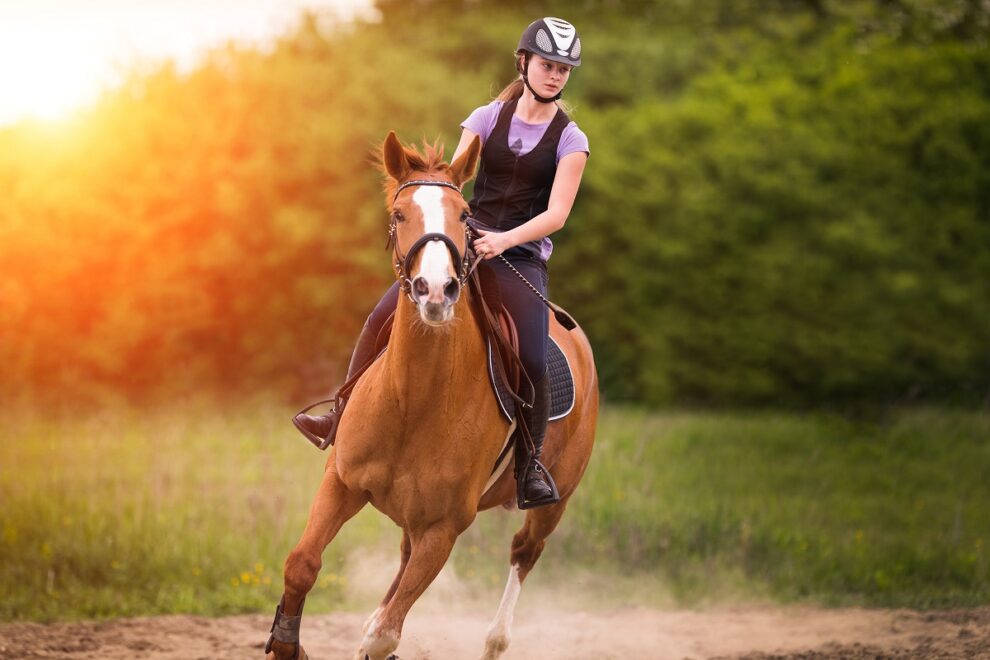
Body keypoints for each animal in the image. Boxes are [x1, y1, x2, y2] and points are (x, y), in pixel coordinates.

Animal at [268, 133, 600, 660]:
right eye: (399, 213)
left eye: (464, 215)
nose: (436, 291)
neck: (413, 399)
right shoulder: (341, 482)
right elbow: (302, 565)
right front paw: (287, 642)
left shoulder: (443, 528)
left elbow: (383, 637)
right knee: (402, 563)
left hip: (553, 502)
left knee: (525, 552)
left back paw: (495, 640)